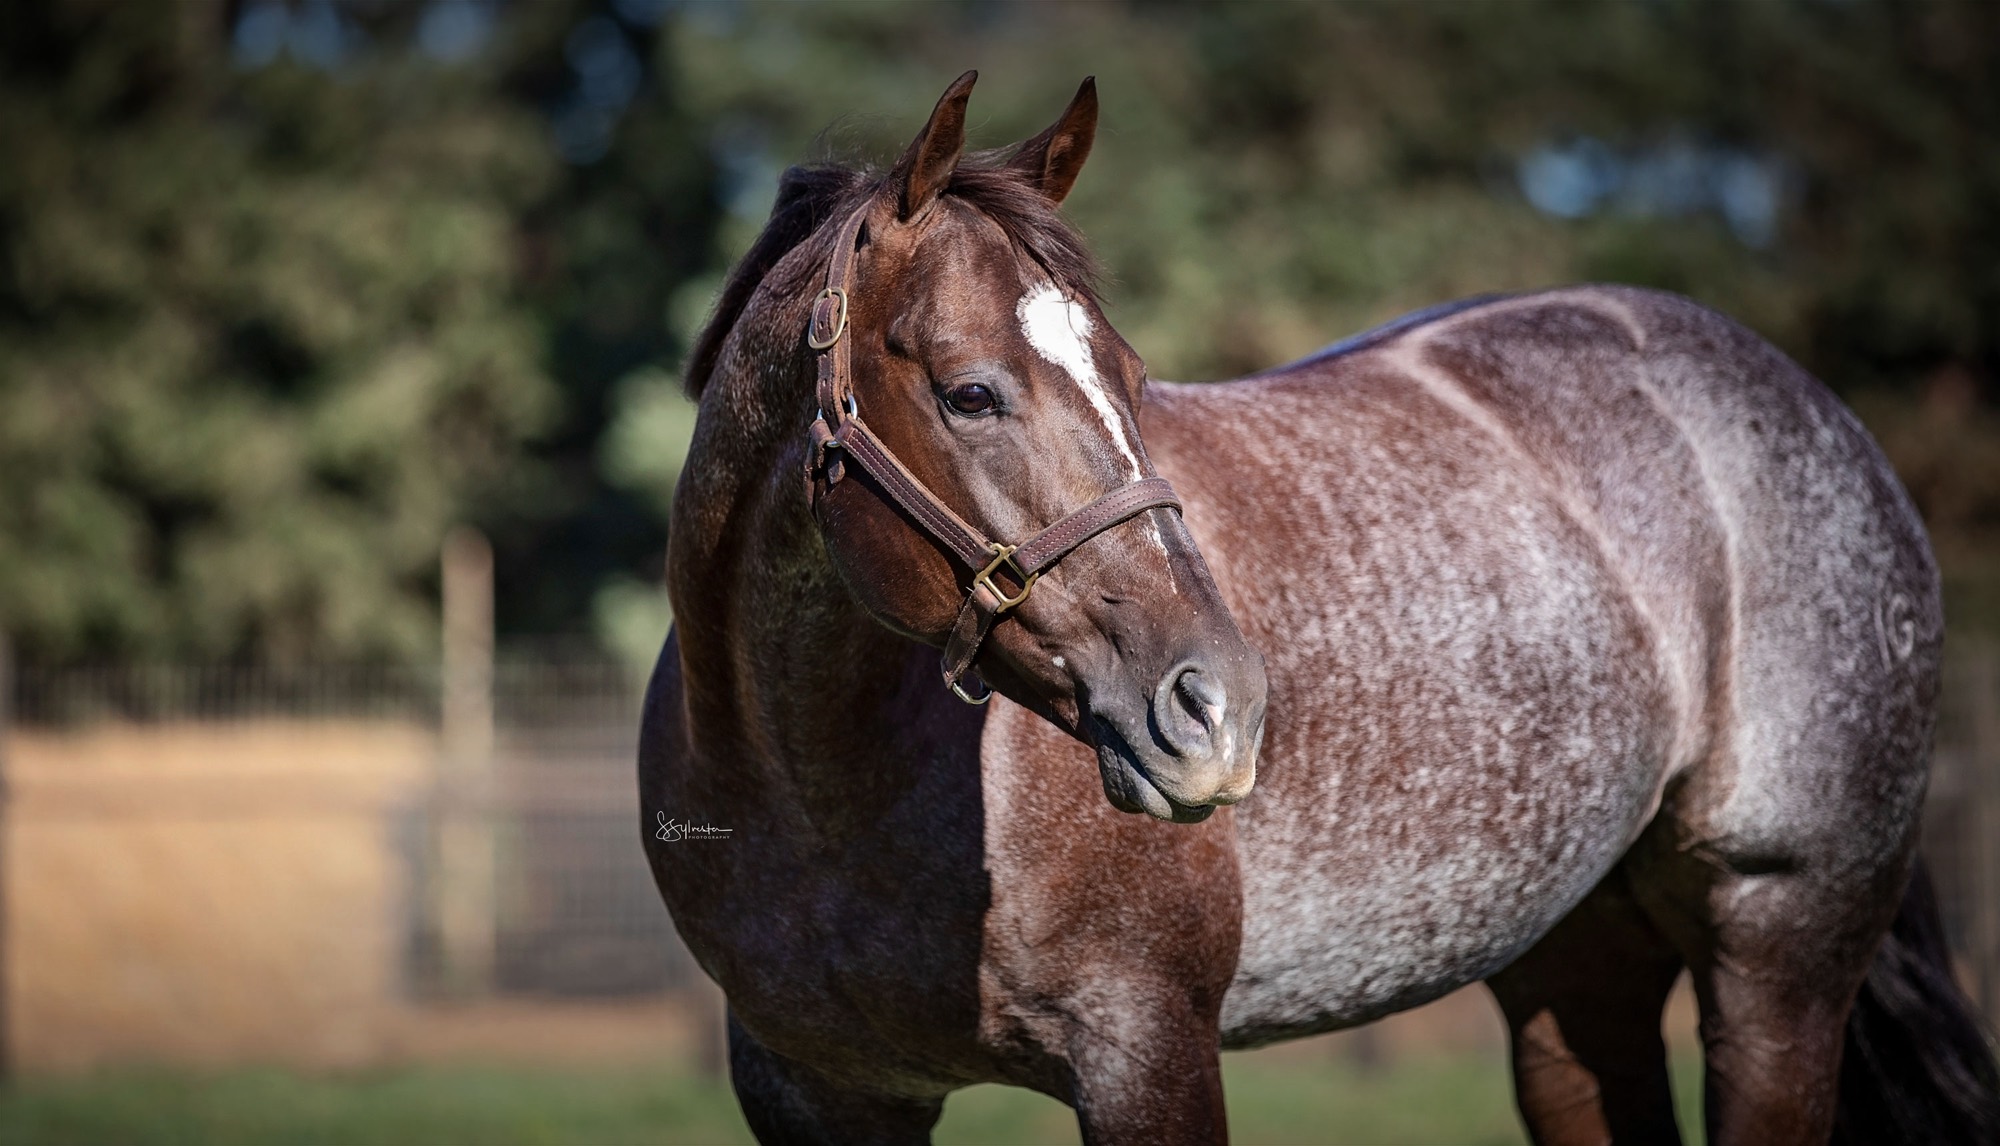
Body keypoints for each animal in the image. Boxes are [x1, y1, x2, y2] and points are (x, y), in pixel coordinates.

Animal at [640, 72, 2000, 1144]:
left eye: (1133, 375)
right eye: (970, 393)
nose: (1216, 709)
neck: (822, 796)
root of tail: (1817, 415)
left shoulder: (1145, 1058)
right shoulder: (819, 1094)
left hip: (1776, 959)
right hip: (1575, 982)